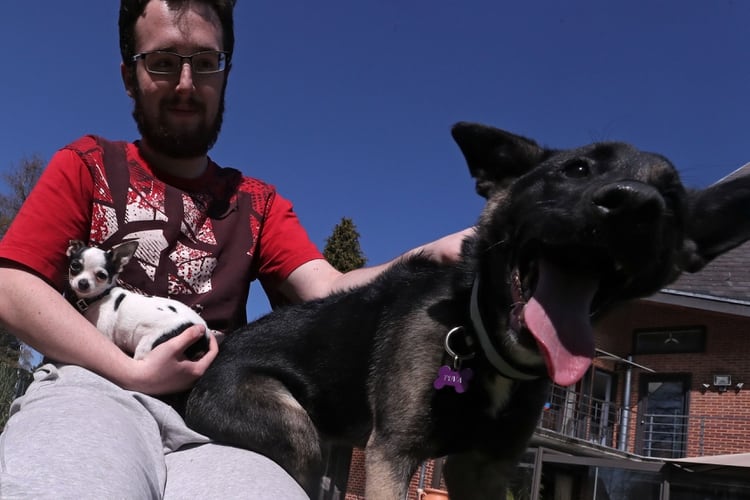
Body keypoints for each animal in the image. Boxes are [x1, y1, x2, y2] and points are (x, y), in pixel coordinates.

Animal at [66, 239, 212, 360]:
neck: (99, 298)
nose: (83, 283)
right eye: (74, 266)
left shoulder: (105, 335)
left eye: (101, 275)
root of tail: (205, 337)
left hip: (148, 344)